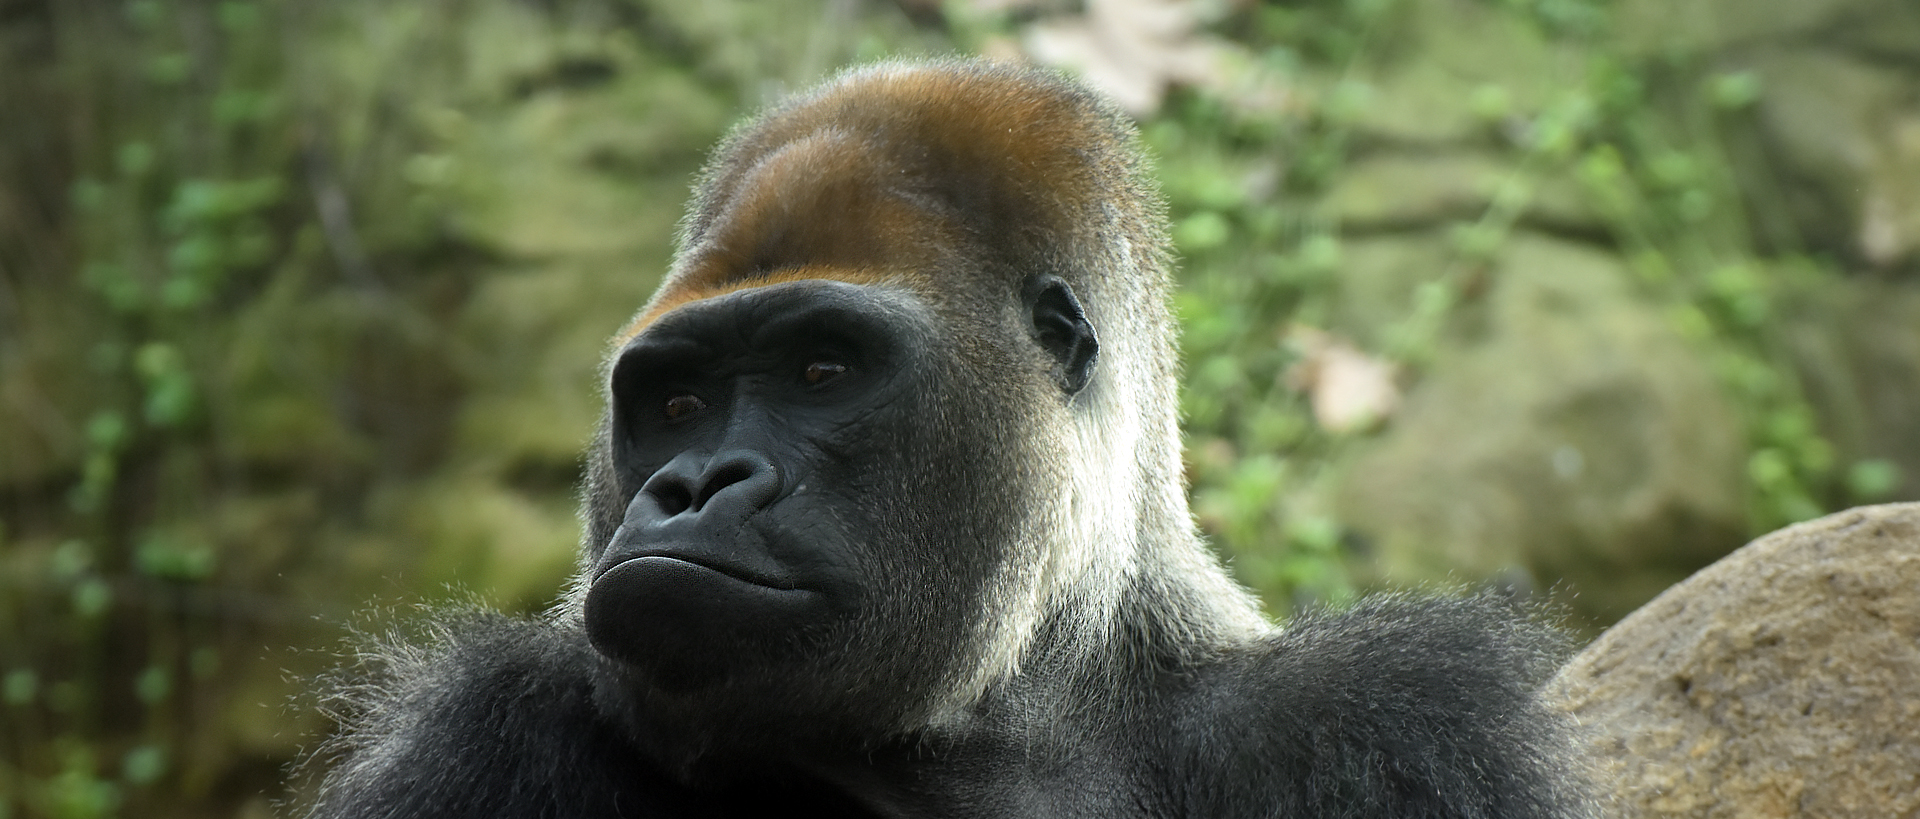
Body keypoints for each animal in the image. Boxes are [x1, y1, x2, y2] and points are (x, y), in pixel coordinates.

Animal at [299, 58, 1593, 818]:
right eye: (675, 405)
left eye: (822, 371)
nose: (695, 481)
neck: (1007, 707)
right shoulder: (480, 731)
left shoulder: (1393, 716)